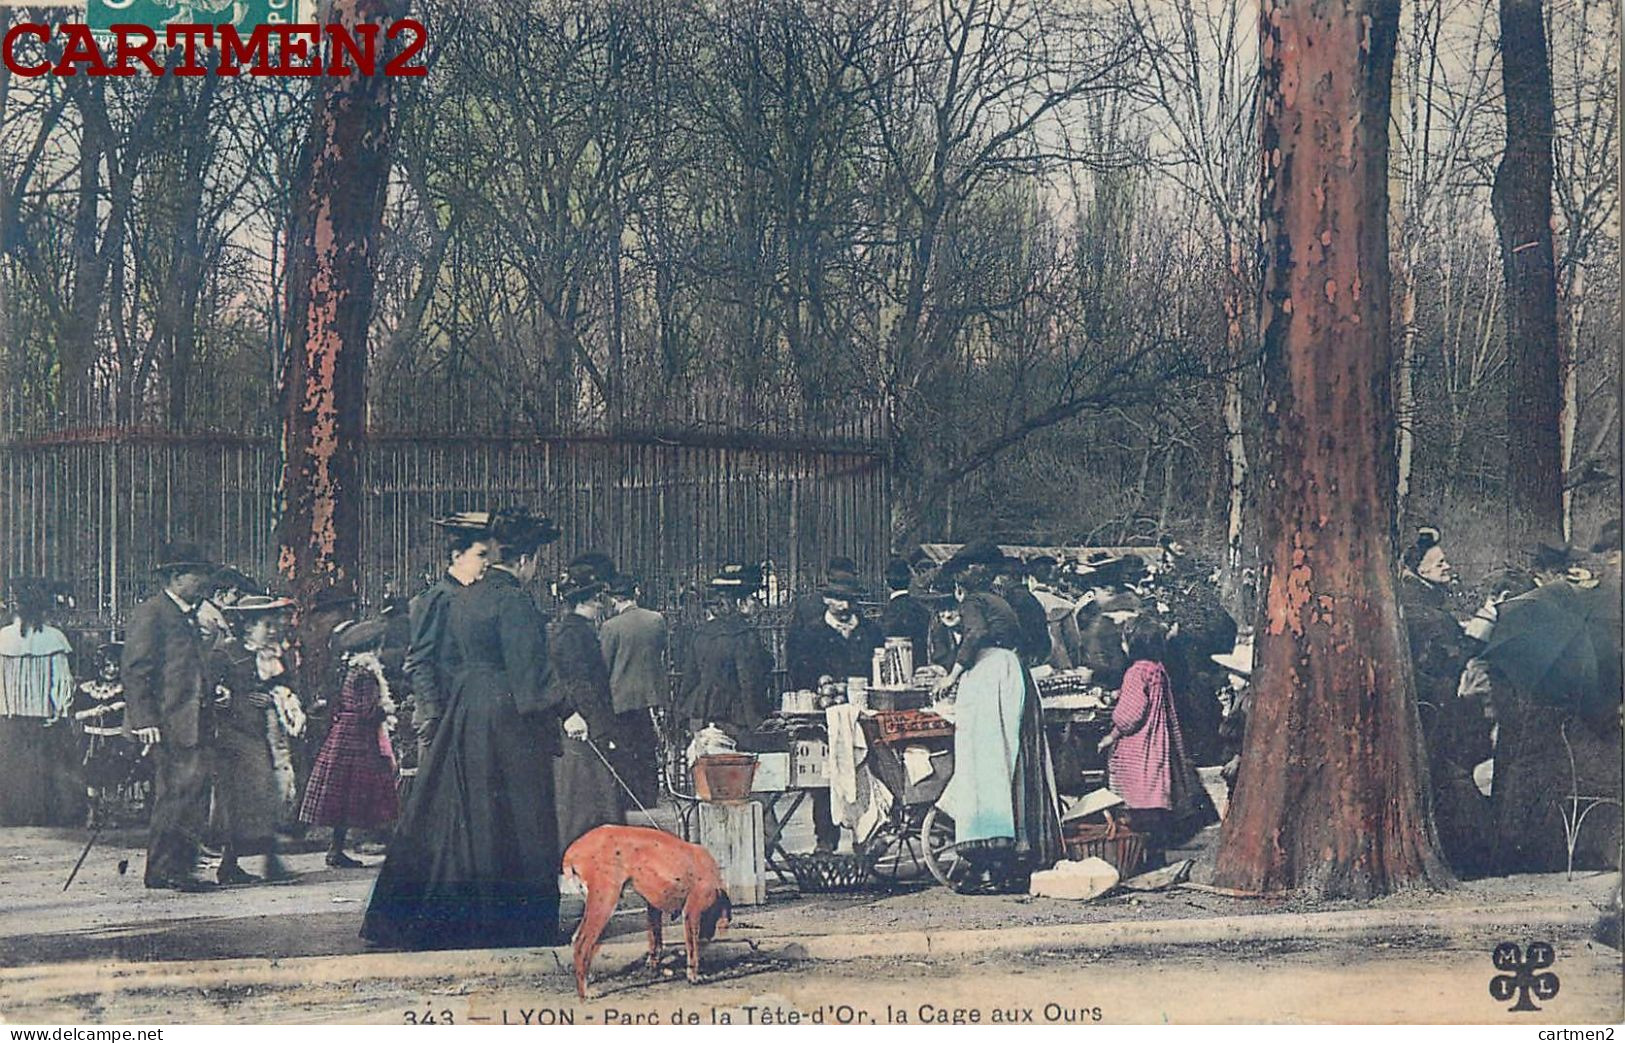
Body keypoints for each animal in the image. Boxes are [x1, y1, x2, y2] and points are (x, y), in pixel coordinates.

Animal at [562, 825, 734, 994]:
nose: (709, 937)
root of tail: (572, 851)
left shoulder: (653, 908)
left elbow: (655, 939)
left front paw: (653, 964)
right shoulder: (691, 913)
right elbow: (693, 950)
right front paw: (693, 975)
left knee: (577, 940)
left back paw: (587, 977)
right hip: (605, 904)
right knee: (582, 943)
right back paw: (585, 992)